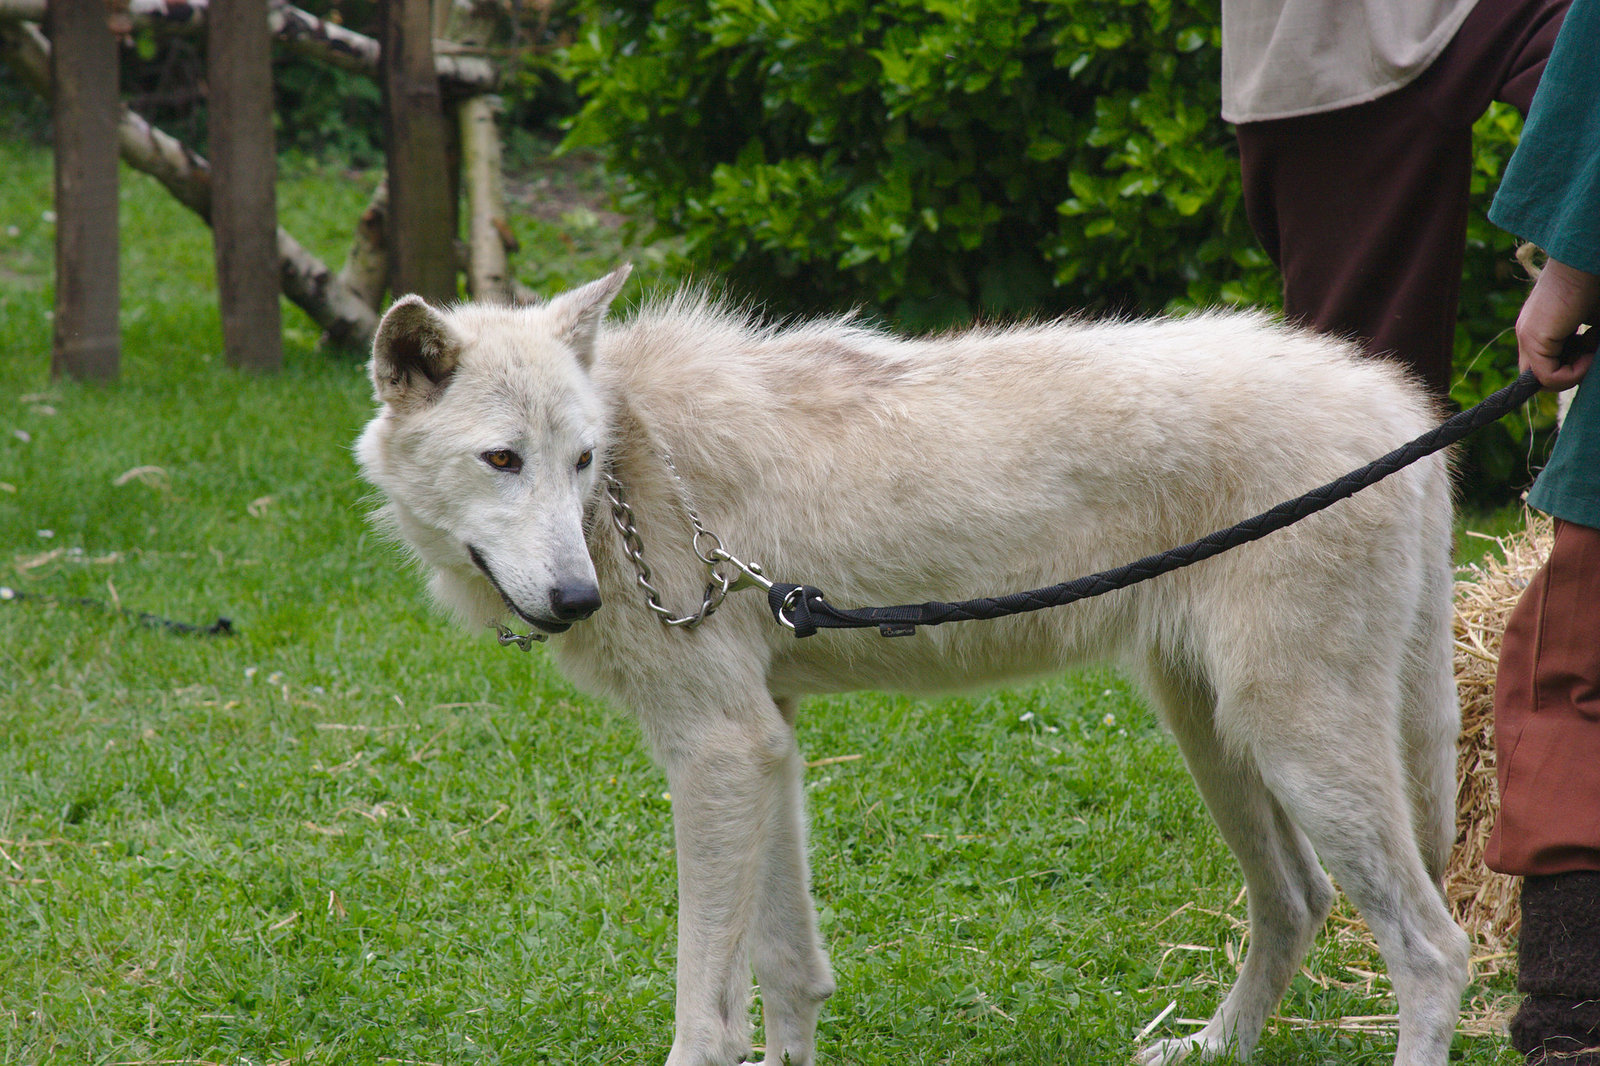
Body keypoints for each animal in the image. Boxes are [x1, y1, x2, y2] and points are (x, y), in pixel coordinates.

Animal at [356, 267, 1465, 1062]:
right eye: (504, 460)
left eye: (579, 460)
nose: (574, 599)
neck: (631, 483)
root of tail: (1400, 408)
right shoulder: (767, 746)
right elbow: (788, 968)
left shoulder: (719, 751)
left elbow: (706, 1021)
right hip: (1217, 737)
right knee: (1297, 902)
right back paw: (1211, 1047)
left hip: (1297, 745)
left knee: (1432, 950)